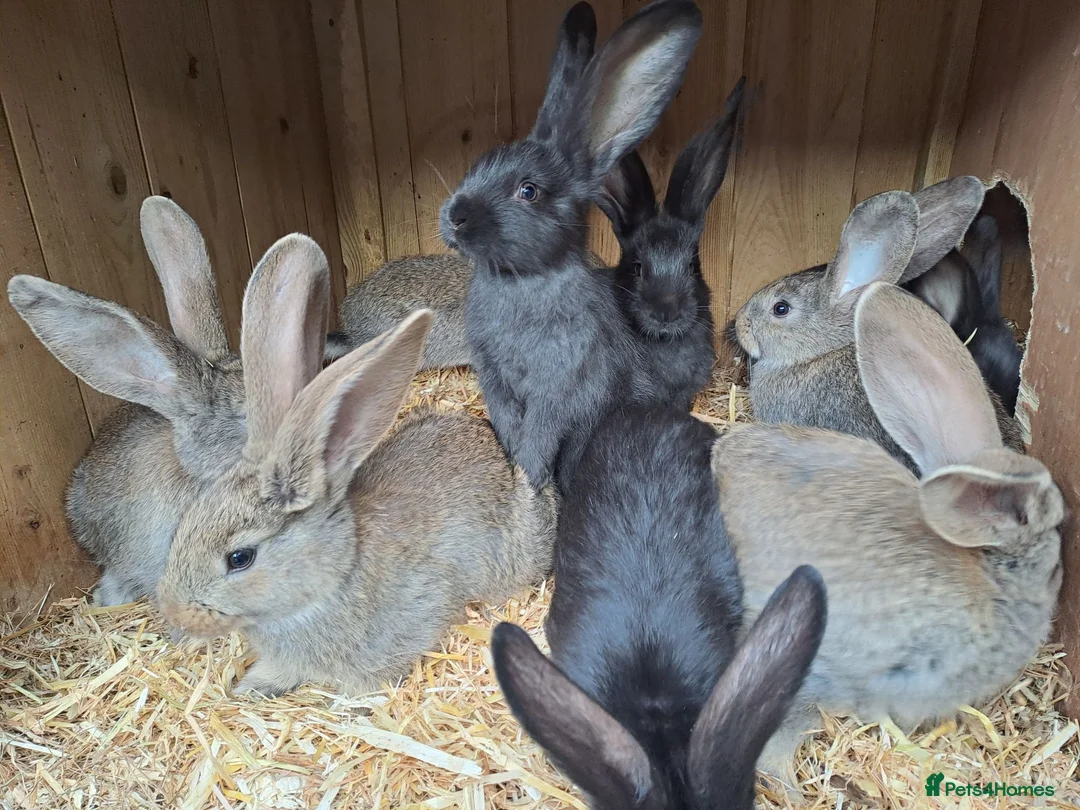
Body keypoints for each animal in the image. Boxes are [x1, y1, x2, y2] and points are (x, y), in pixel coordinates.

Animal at [439, 0, 702, 491]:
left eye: (528, 191)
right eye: (475, 167)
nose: (455, 216)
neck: (523, 281)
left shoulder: (560, 384)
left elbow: (541, 432)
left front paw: (527, 475)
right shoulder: (494, 379)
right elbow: (508, 421)